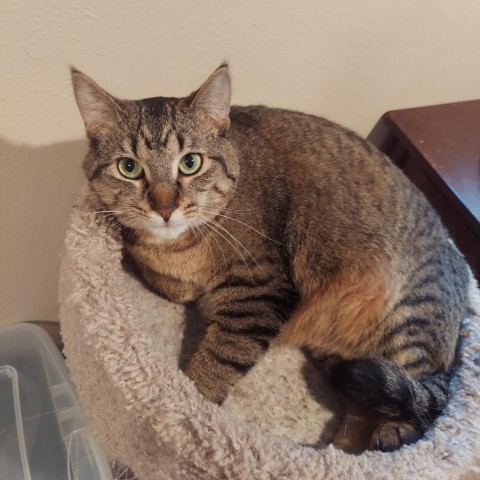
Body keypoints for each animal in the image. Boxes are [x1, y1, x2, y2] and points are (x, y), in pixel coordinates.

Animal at [70, 62, 468, 450]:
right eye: (129, 168)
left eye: (190, 163)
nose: (165, 208)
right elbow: (168, 280)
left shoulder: (260, 290)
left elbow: (219, 359)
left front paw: (190, 411)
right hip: (348, 359)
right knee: (364, 401)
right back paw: (341, 449)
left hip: (409, 320)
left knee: (421, 402)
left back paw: (389, 434)